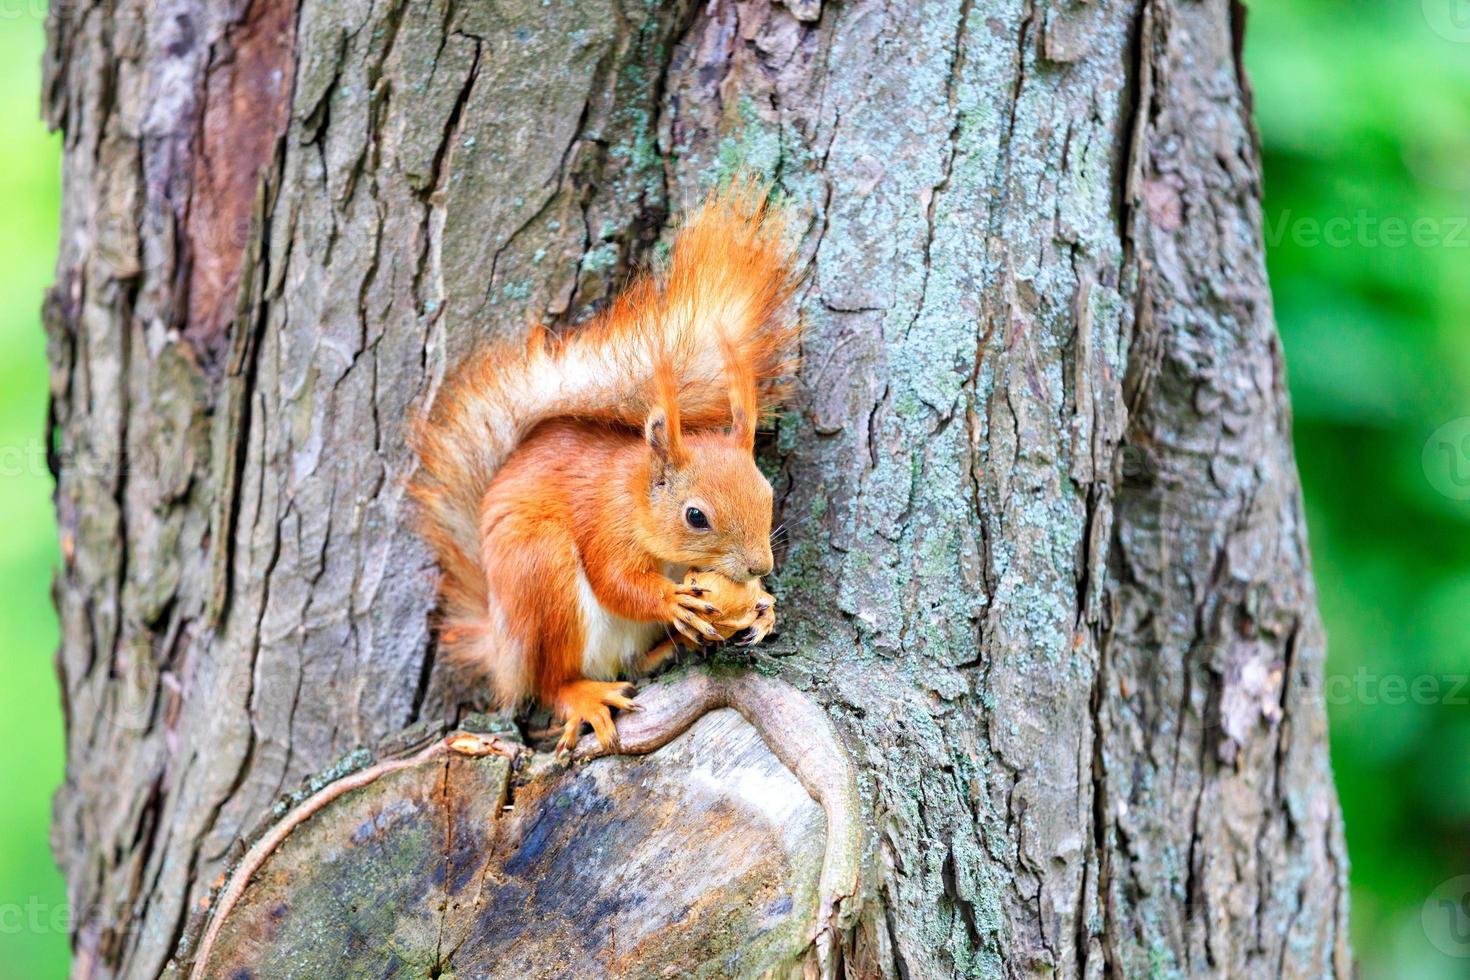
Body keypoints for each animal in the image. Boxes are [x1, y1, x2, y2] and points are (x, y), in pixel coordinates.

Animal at [408, 185, 799, 752]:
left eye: (767, 494)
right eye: (696, 516)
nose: (759, 567)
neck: (638, 496)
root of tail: (503, 647)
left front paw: (764, 608)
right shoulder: (605, 519)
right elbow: (615, 580)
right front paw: (671, 601)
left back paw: (671, 648)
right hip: (540, 573)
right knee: (552, 680)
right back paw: (588, 694)